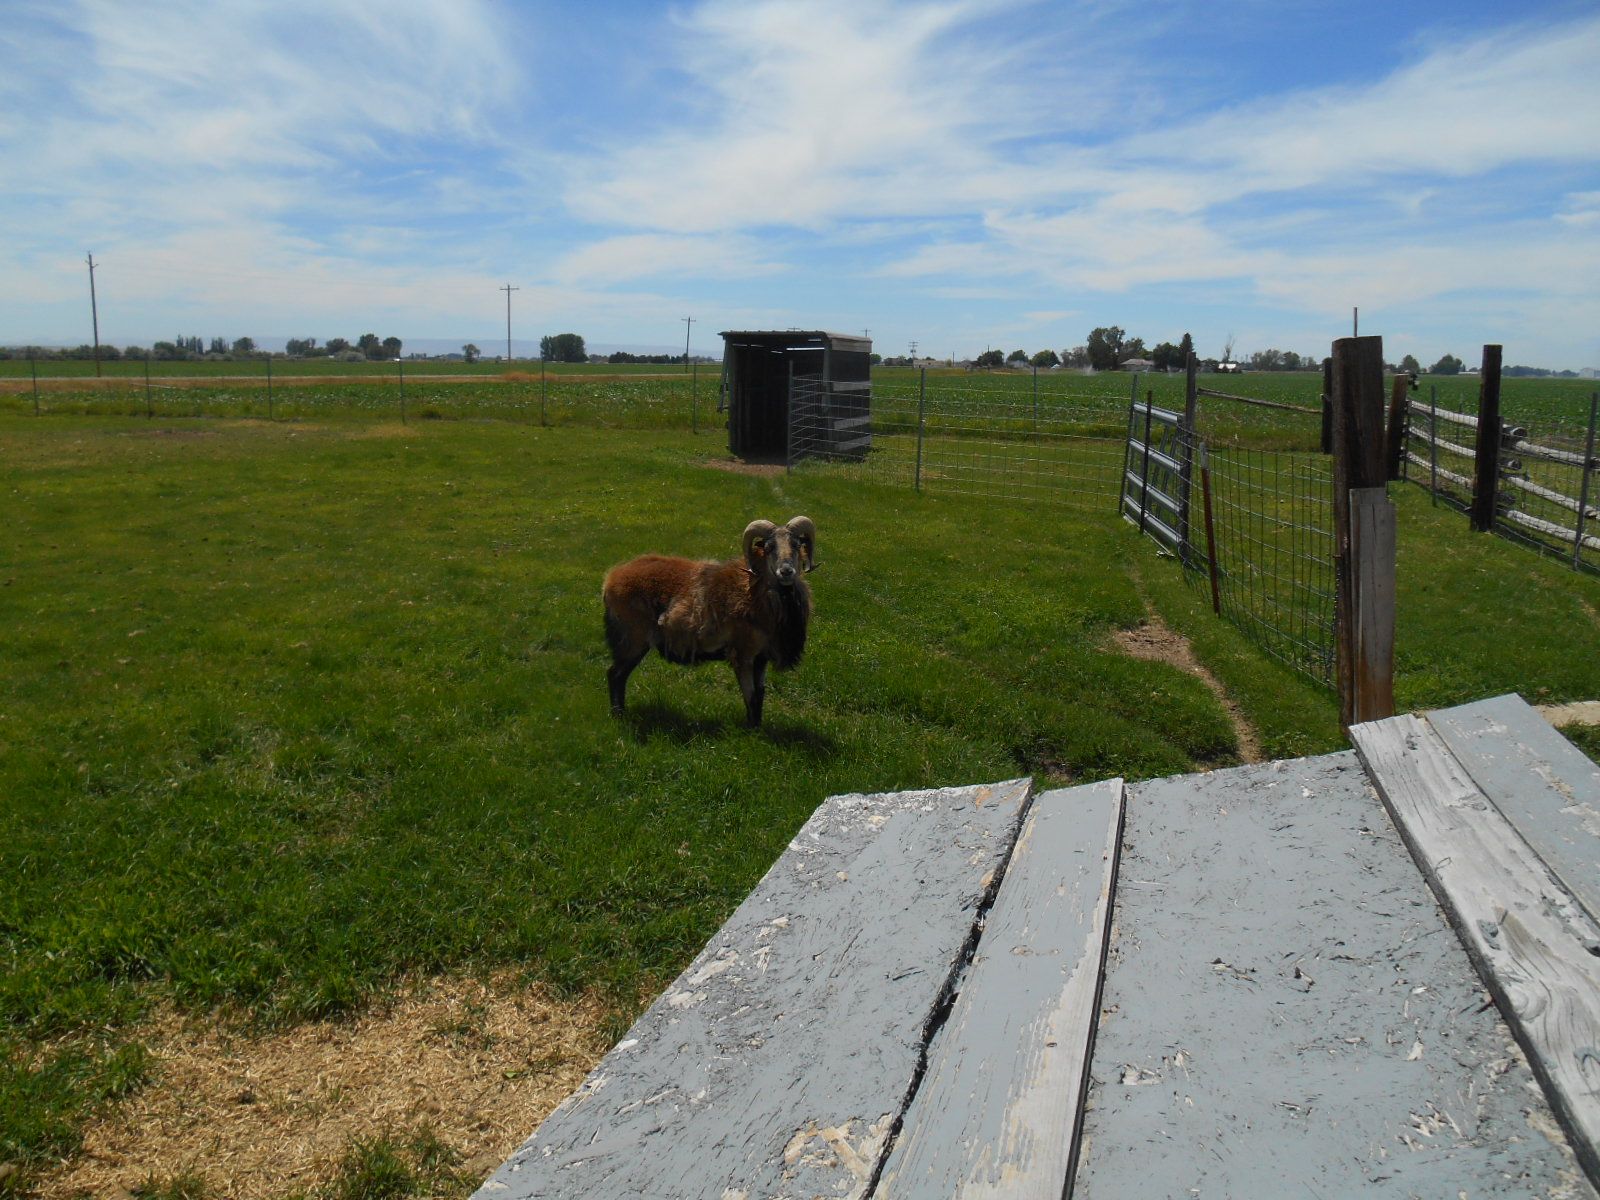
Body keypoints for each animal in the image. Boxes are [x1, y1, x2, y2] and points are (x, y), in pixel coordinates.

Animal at [602, 516, 816, 727]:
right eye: (769, 547)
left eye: (796, 545)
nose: (786, 571)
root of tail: (610, 579)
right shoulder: (743, 654)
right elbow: (750, 696)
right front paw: (751, 730)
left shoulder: (761, 657)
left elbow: (760, 694)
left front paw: (758, 727)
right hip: (633, 639)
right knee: (615, 674)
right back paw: (618, 716)